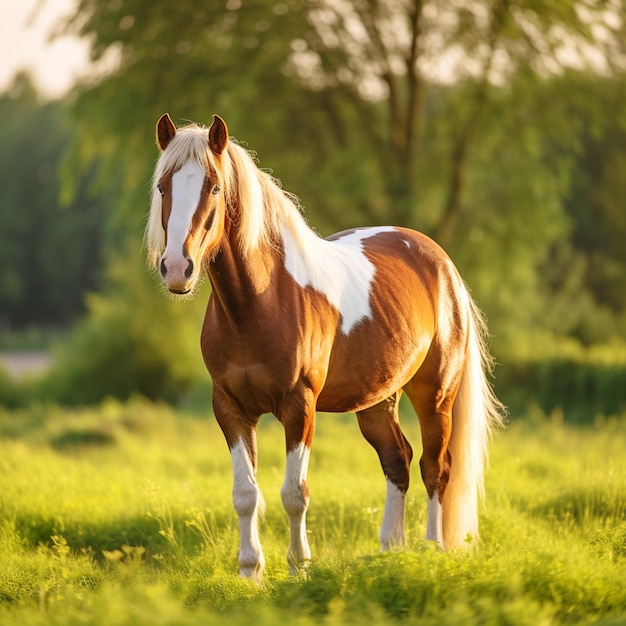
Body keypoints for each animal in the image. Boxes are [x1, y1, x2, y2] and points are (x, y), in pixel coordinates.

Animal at [146, 112, 502, 576]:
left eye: (215, 187)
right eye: (162, 186)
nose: (176, 268)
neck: (258, 304)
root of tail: (442, 265)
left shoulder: (300, 406)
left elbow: (294, 493)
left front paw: (299, 567)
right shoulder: (230, 408)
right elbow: (245, 495)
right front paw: (250, 571)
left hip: (435, 394)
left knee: (435, 468)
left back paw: (432, 550)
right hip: (377, 400)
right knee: (398, 460)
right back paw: (391, 550)